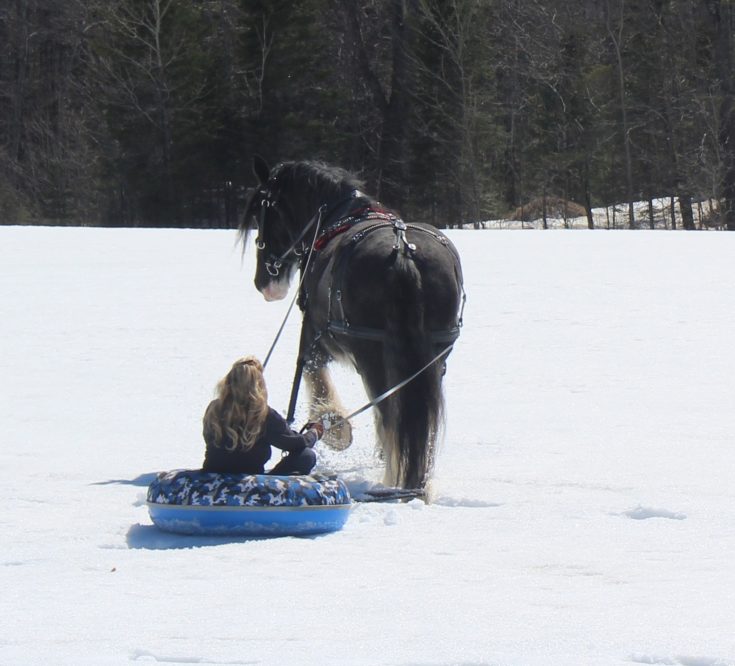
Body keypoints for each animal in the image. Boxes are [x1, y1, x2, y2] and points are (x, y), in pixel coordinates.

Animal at [240, 156, 465, 490]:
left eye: (261, 210)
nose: (264, 283)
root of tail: (403, 253)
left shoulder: (313, 335)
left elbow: (312, 374)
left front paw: (335, 429)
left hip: (372, 355)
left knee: (389, 413)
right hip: (433, 357)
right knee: (422, 419)